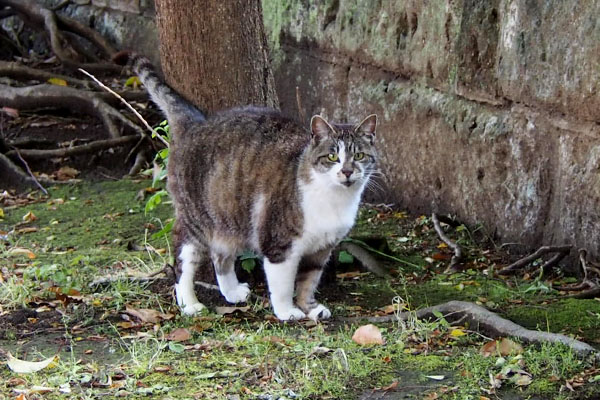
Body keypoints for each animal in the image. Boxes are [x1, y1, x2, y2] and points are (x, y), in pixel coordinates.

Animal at [116, 53, 378, 322]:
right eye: (332, 157)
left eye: (359, 155)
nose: (347, 171)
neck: (333, 198)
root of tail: (195, 124)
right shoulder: (278, 243)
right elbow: (283, 284)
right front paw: (287, 311)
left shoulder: (322, 249)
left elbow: (308, 281)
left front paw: (311, 307)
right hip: (195, 219)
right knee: (182, 260)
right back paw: (189, 303)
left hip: (226, 216)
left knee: (220, 256)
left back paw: (232, 292)